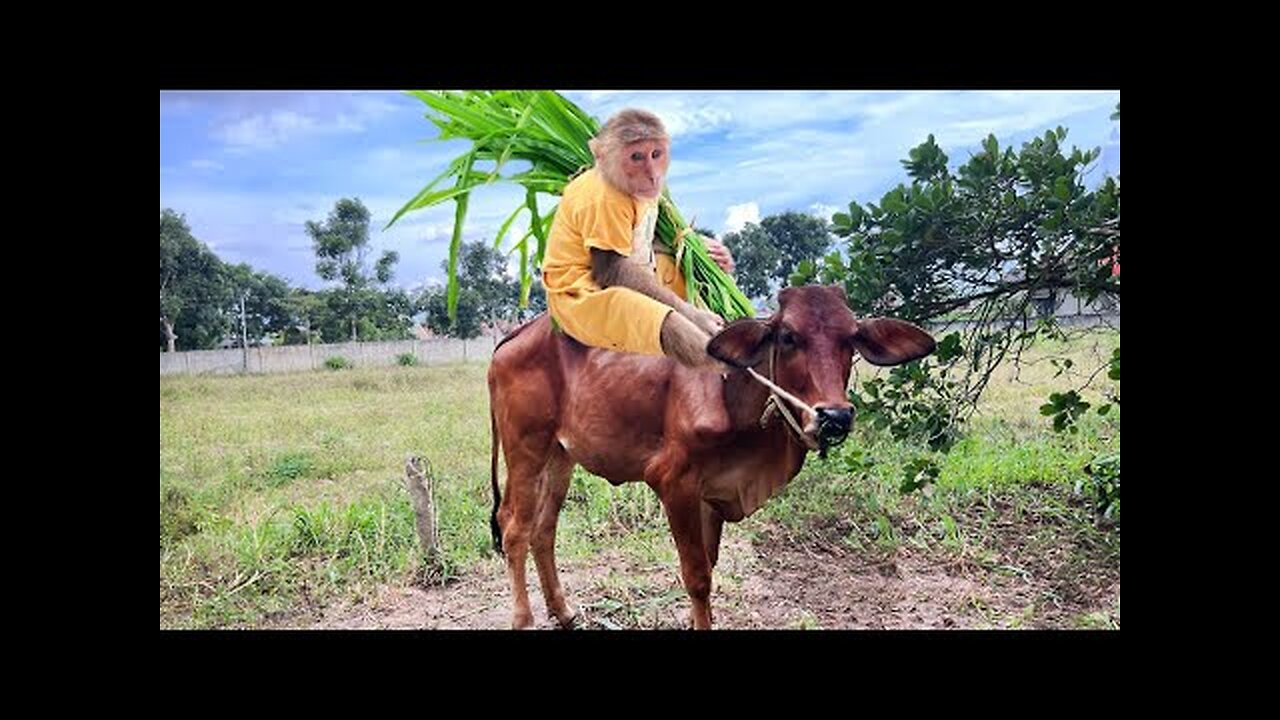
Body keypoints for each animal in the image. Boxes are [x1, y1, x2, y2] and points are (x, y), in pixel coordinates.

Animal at [483, 283, 936, 625]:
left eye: (851, 337)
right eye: (788, 336)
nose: (835, 416)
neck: (734, 392)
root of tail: (516, 335)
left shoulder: (713, 495)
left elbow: (710, 566)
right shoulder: (674, 483)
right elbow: (698, 576)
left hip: (561, 456)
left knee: (544, 529)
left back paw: (563, 611)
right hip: (526, 449)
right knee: (514, 527)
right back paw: (524, 618)